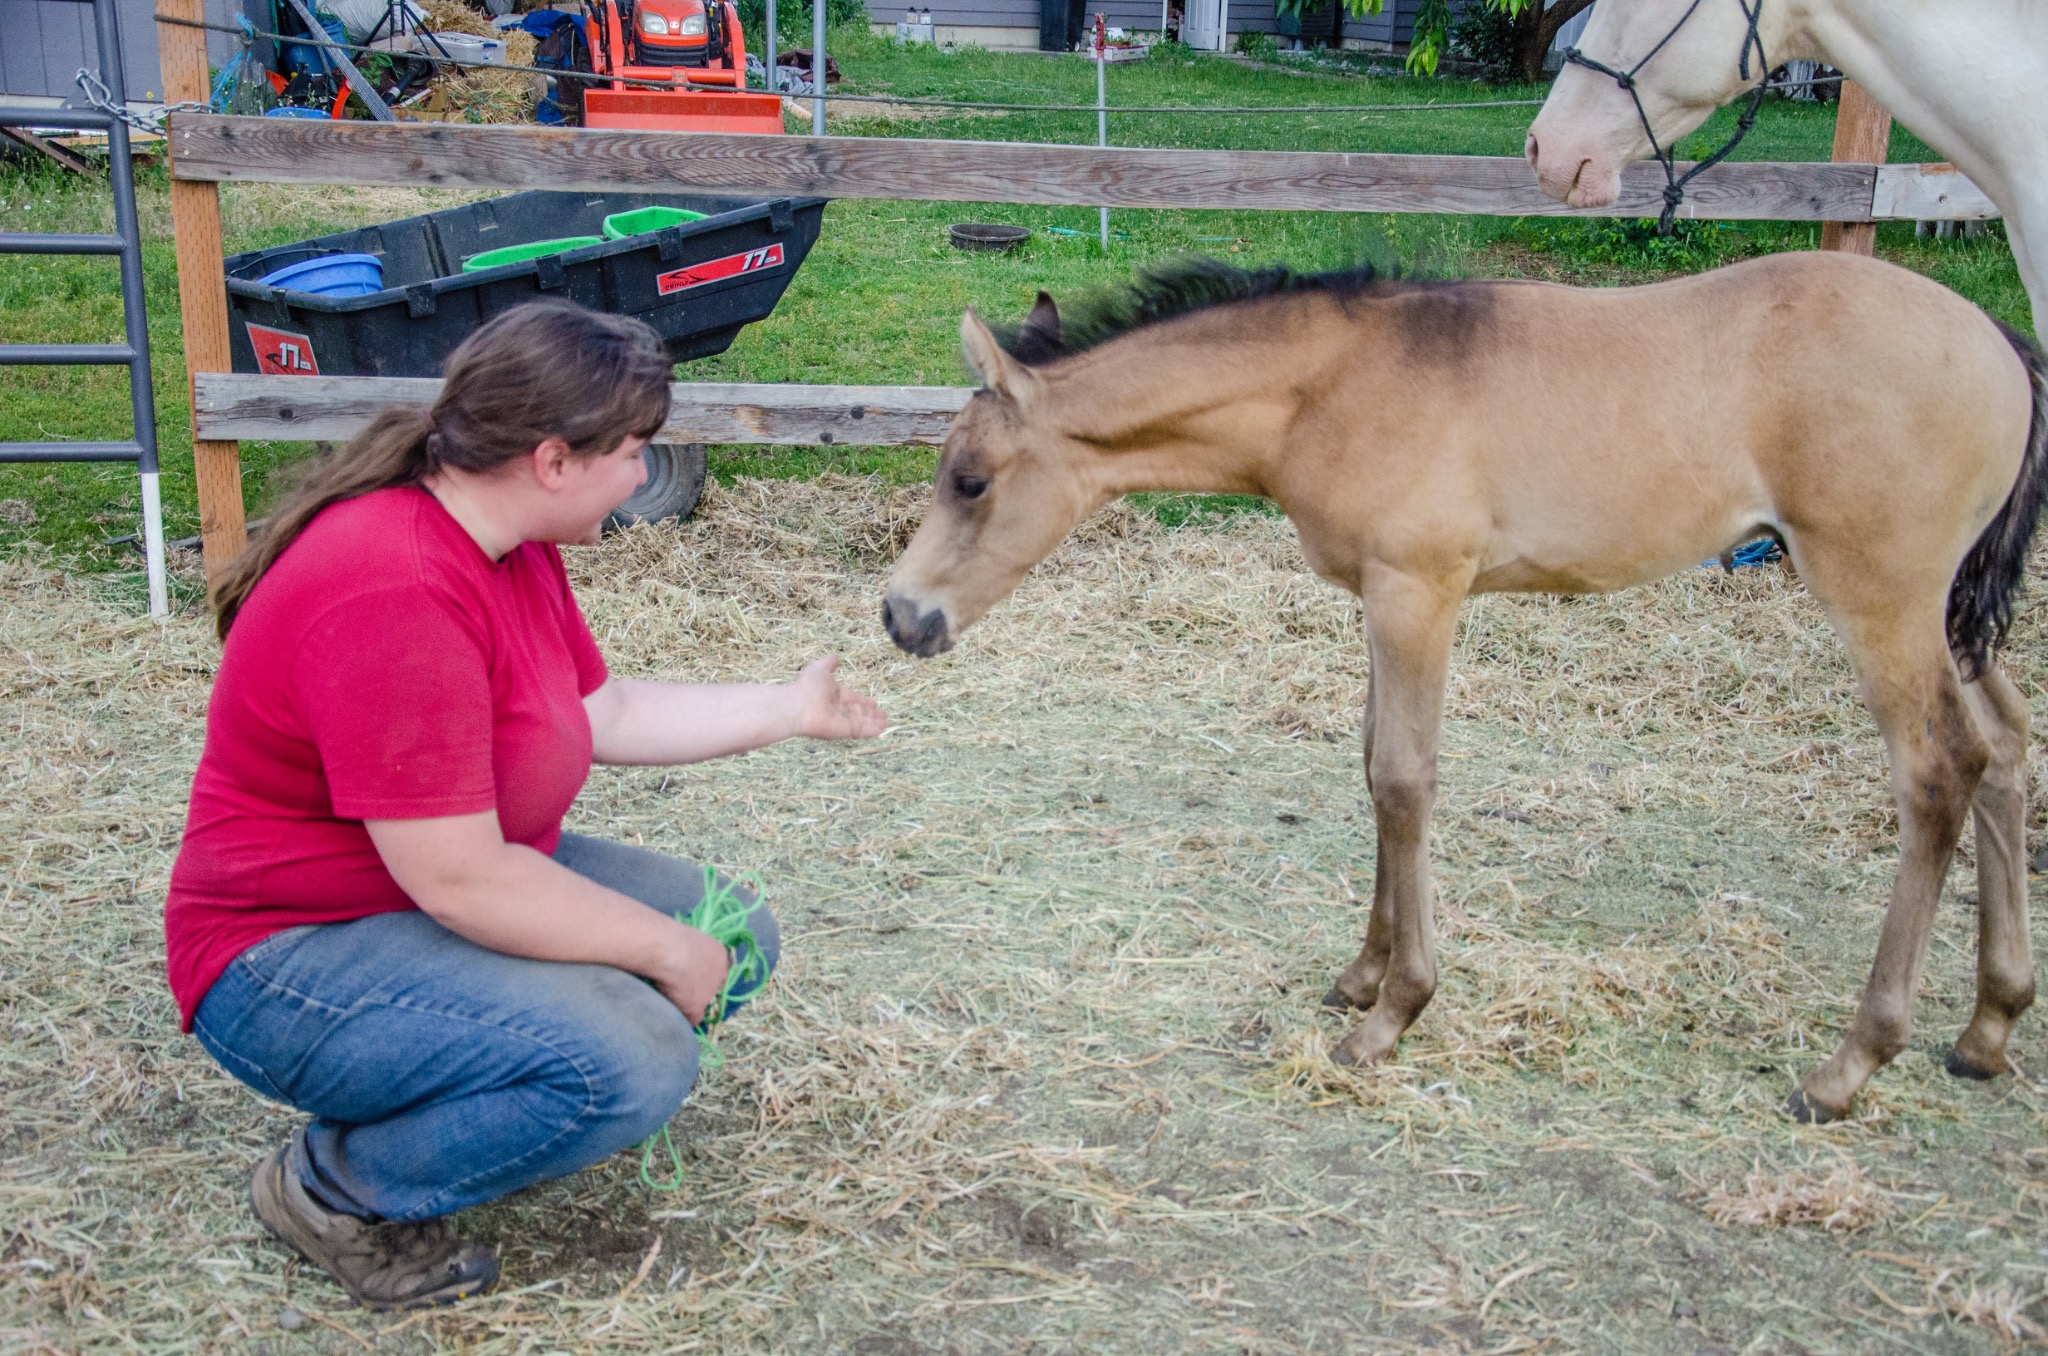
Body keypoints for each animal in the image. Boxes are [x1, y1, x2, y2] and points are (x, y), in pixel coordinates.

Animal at [881, 255, 2048, 1123]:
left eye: (971, 481)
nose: (900, 617)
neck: (1335, 385)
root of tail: (1999, 343)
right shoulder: (1378, 597)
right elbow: (1369, 769)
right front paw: (1360, 975)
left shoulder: (1418, 592)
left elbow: (1403, 782)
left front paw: (1389, 1016)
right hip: (1940, 613)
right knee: (2003, 749)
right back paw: (1988, 1024)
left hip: (1878, 598)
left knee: (1938, 770)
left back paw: (1849, 1065)